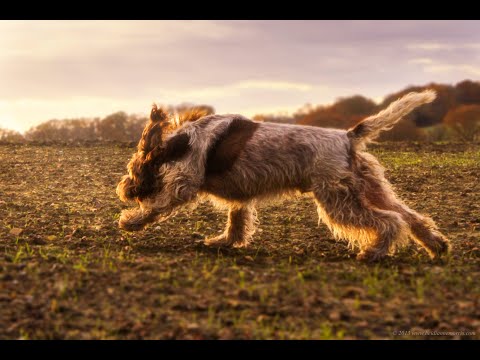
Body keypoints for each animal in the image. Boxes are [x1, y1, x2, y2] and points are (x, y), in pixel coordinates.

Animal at [115, 90, 450, 262]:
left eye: (132, 170)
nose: (123, 189)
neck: (179, 143)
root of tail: (347, 137)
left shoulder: (182, 185)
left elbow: (155, 207)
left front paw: (130, 221)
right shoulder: (240, 195)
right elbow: (237, 222)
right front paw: (226, 242)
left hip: (338, 199)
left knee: (390, 221)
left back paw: (374, 252)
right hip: (371, 189)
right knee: (411, 217)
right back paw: (437, 246)